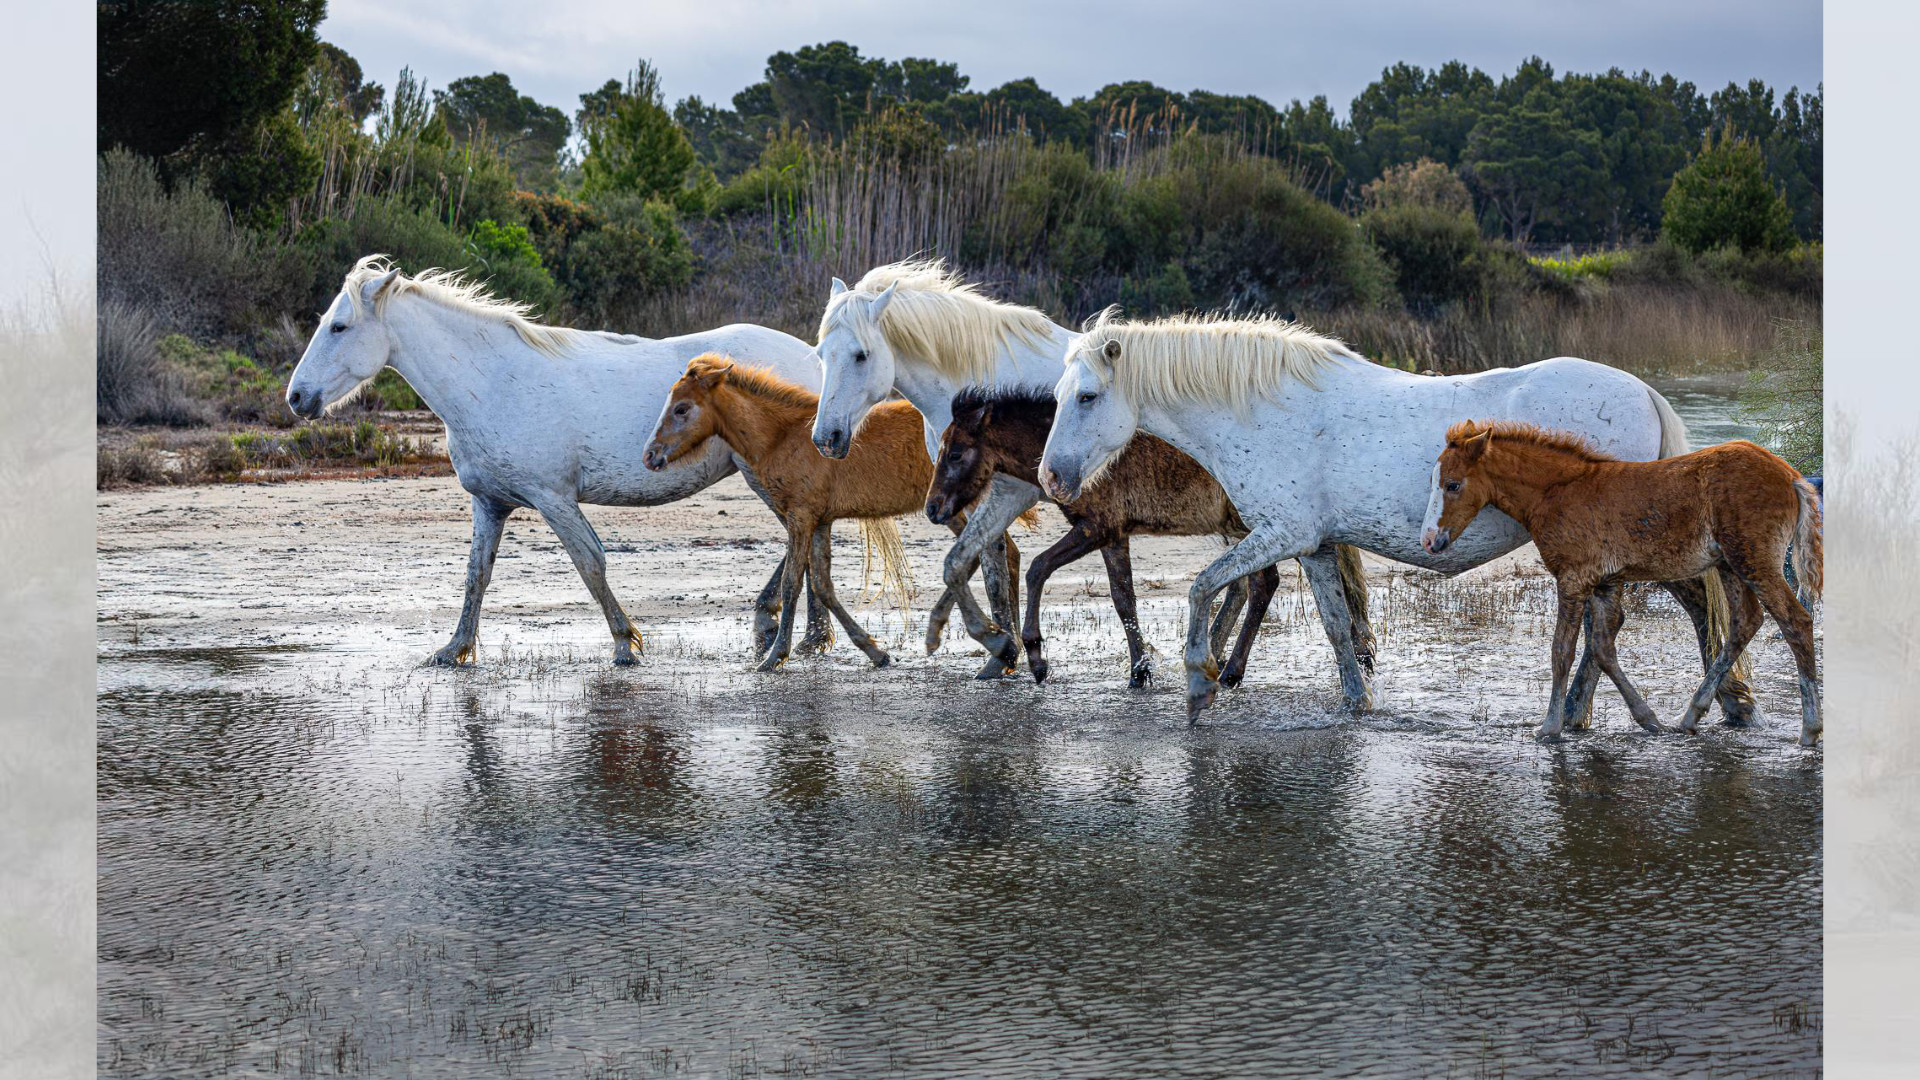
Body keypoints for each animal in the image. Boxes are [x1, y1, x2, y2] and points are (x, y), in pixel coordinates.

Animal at [288, 253, 829, 664]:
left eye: (339, 326)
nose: (297, 397)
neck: (491, 383)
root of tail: (819, 359)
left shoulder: (554, 499)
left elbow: (591, 563)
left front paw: (624, 644)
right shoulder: (490, 503)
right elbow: (476, 575)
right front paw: (453, 650)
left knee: (802, 540)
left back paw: (775, 624)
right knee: (811, 542)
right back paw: (810, 636)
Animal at [925, 388, 1367, 687]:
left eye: (956, 453)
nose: (933, 509)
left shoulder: (1097, 526)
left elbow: (1038, 568)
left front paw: (1036, 657)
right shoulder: (1113, 535)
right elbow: (1124, 598)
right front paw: (1139, 671)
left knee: (1264, 584)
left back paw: (1230, 671)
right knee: (1262, 584)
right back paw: (1230, 669)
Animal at [1044, 307, 1751, 718]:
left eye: (1086, 397)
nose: (1053, 476)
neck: (1264, 409)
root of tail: (1644, 392)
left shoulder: (1280, 534)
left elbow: (1201, 587)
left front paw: (1199, 679)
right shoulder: (1313, 545)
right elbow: (1337, 631)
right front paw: (1359, 706)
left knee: (1668, 614)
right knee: (1652, 620)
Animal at [1420, 418, 1820, 737]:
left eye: (1453, 485)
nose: (1429, 540)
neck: (1557, 492)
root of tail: (1791, 475)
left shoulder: (1572, 579)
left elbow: (1562, 650)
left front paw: (1549, 727)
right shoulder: (1605, 583)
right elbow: (1602, 647)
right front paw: (1648, 718)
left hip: (1753, 560)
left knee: (1795, 620)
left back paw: (1810, 729)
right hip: (1730, 565)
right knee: (1744, 623)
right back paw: (1692, 715)